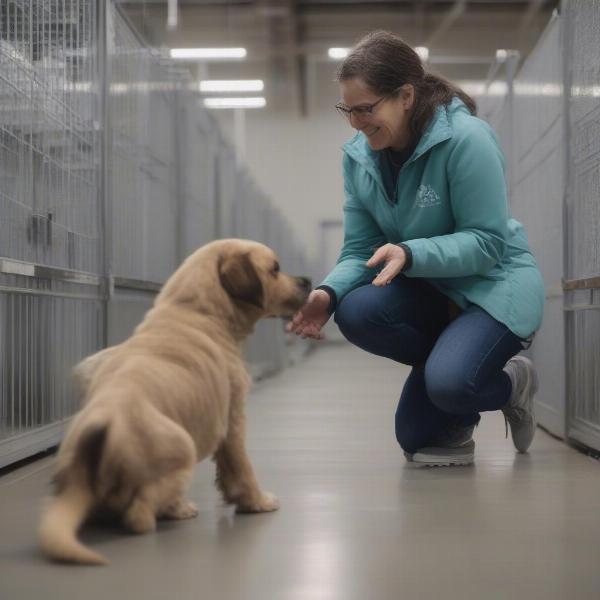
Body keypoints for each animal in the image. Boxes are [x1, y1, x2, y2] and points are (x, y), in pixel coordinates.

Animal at [38, 238, 310, 564]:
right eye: (275, 269)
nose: (307, 281)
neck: (200, 312)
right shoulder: (233, 421)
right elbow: (241, 469)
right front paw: (256, 501)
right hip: (183, 448)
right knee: (140, 513)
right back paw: (178, 509)